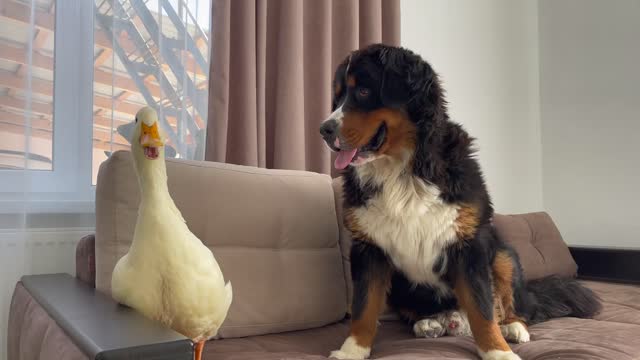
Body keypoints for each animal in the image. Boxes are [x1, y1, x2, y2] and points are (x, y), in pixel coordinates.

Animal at [318, 45, 600, 360]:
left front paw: (497, 351)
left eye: (364, 91)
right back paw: (432, 323)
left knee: (512, 306)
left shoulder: (469, 243)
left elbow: (482, 308)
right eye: (339, 96)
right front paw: (352, 350)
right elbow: (363, 307)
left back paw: (512, 327)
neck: (403, 171)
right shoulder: (368, 249)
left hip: (504, 254)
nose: (324, 130)